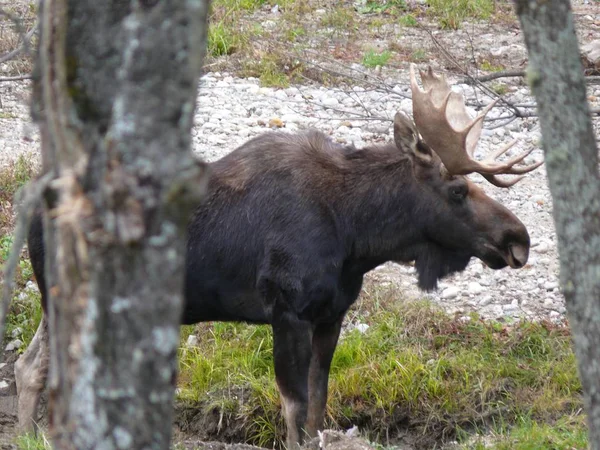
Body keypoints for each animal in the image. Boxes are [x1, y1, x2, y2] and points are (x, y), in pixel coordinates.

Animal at [14, 65, 540, 448]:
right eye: (457, 190)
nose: (519, 239)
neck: (357, 235)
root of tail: (35, 205)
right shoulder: (288, 311)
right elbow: (295, 410)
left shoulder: (331, 315)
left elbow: (319, 406)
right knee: (46, 368)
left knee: (28, 364)